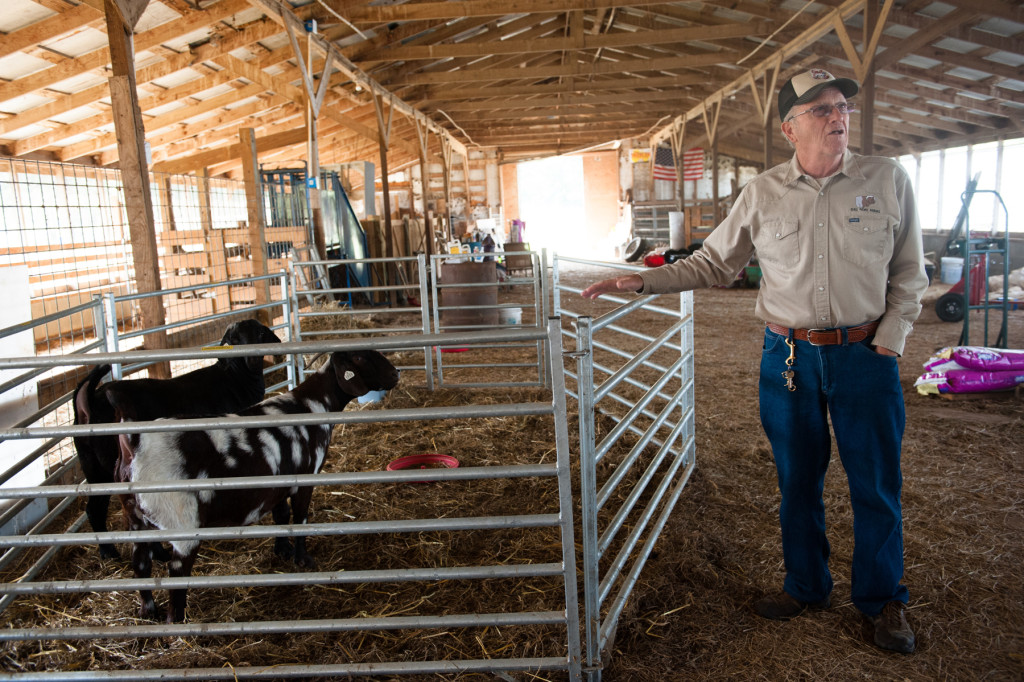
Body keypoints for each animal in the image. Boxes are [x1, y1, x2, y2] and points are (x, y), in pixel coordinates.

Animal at [71, 315, 280, 557]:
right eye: (260, 333)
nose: (276, 343)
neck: (234, 378)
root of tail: (90, 402)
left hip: (93, 466)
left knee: (94, 509)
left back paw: (109, 551)